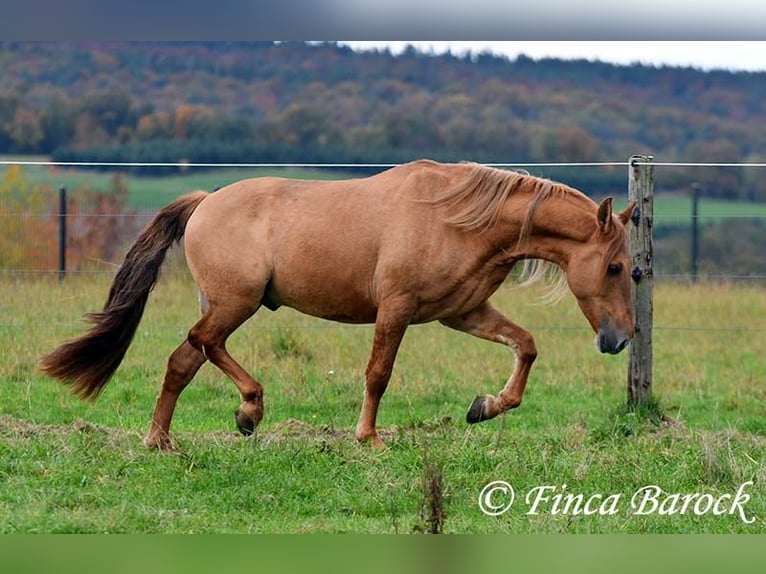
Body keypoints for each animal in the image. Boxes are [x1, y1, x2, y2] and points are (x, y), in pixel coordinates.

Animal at [40, 159, 636, 450]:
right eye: (615, 267)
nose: (620, 339)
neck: (458, 218)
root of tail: (205, 201)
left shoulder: (460, 313)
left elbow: (526, 346)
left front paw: (484, 406)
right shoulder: (396, 307)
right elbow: (378, 373)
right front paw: (368, 437)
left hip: (224, 305)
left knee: (184, 360)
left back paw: (162, 440)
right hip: (237, 303)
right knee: (202, 344)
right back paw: (250, 409)